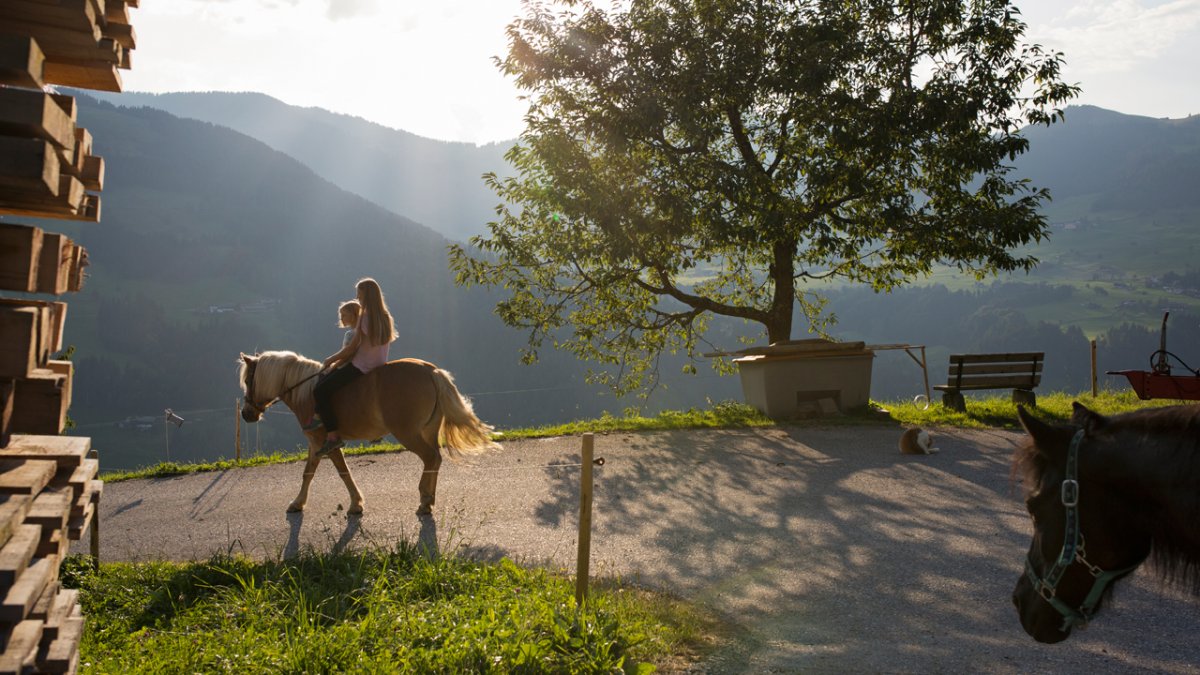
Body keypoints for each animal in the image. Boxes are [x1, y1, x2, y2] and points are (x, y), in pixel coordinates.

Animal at [236, 348, 499, 511]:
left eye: (249, 380)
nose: (246, 414)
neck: (306, 393)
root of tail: (431, 371)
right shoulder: (315, 444)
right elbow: (308, 473)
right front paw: (298, 503)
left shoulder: (326, 443)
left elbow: (343, 472)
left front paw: (356, 504)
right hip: (428, 431)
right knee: (435, 459)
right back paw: (428, 499)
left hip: (408, 433)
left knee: (431, 458)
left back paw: (425, 500)